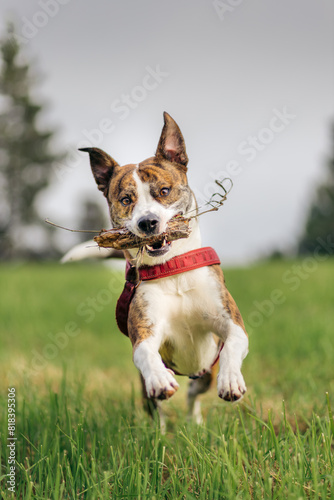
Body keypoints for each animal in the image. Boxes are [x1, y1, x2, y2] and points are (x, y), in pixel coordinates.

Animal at [76, 112, 248, 422]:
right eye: (126, 200)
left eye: (164, 191)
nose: (148, 222)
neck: (172, 268)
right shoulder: (146, 328)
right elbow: (145, 352)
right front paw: (159, 378)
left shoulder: (229, 320)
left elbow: (233, 342)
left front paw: (230, 381)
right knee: (160, 408)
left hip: (205, 373)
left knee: (194, 394)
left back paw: (195, 421)